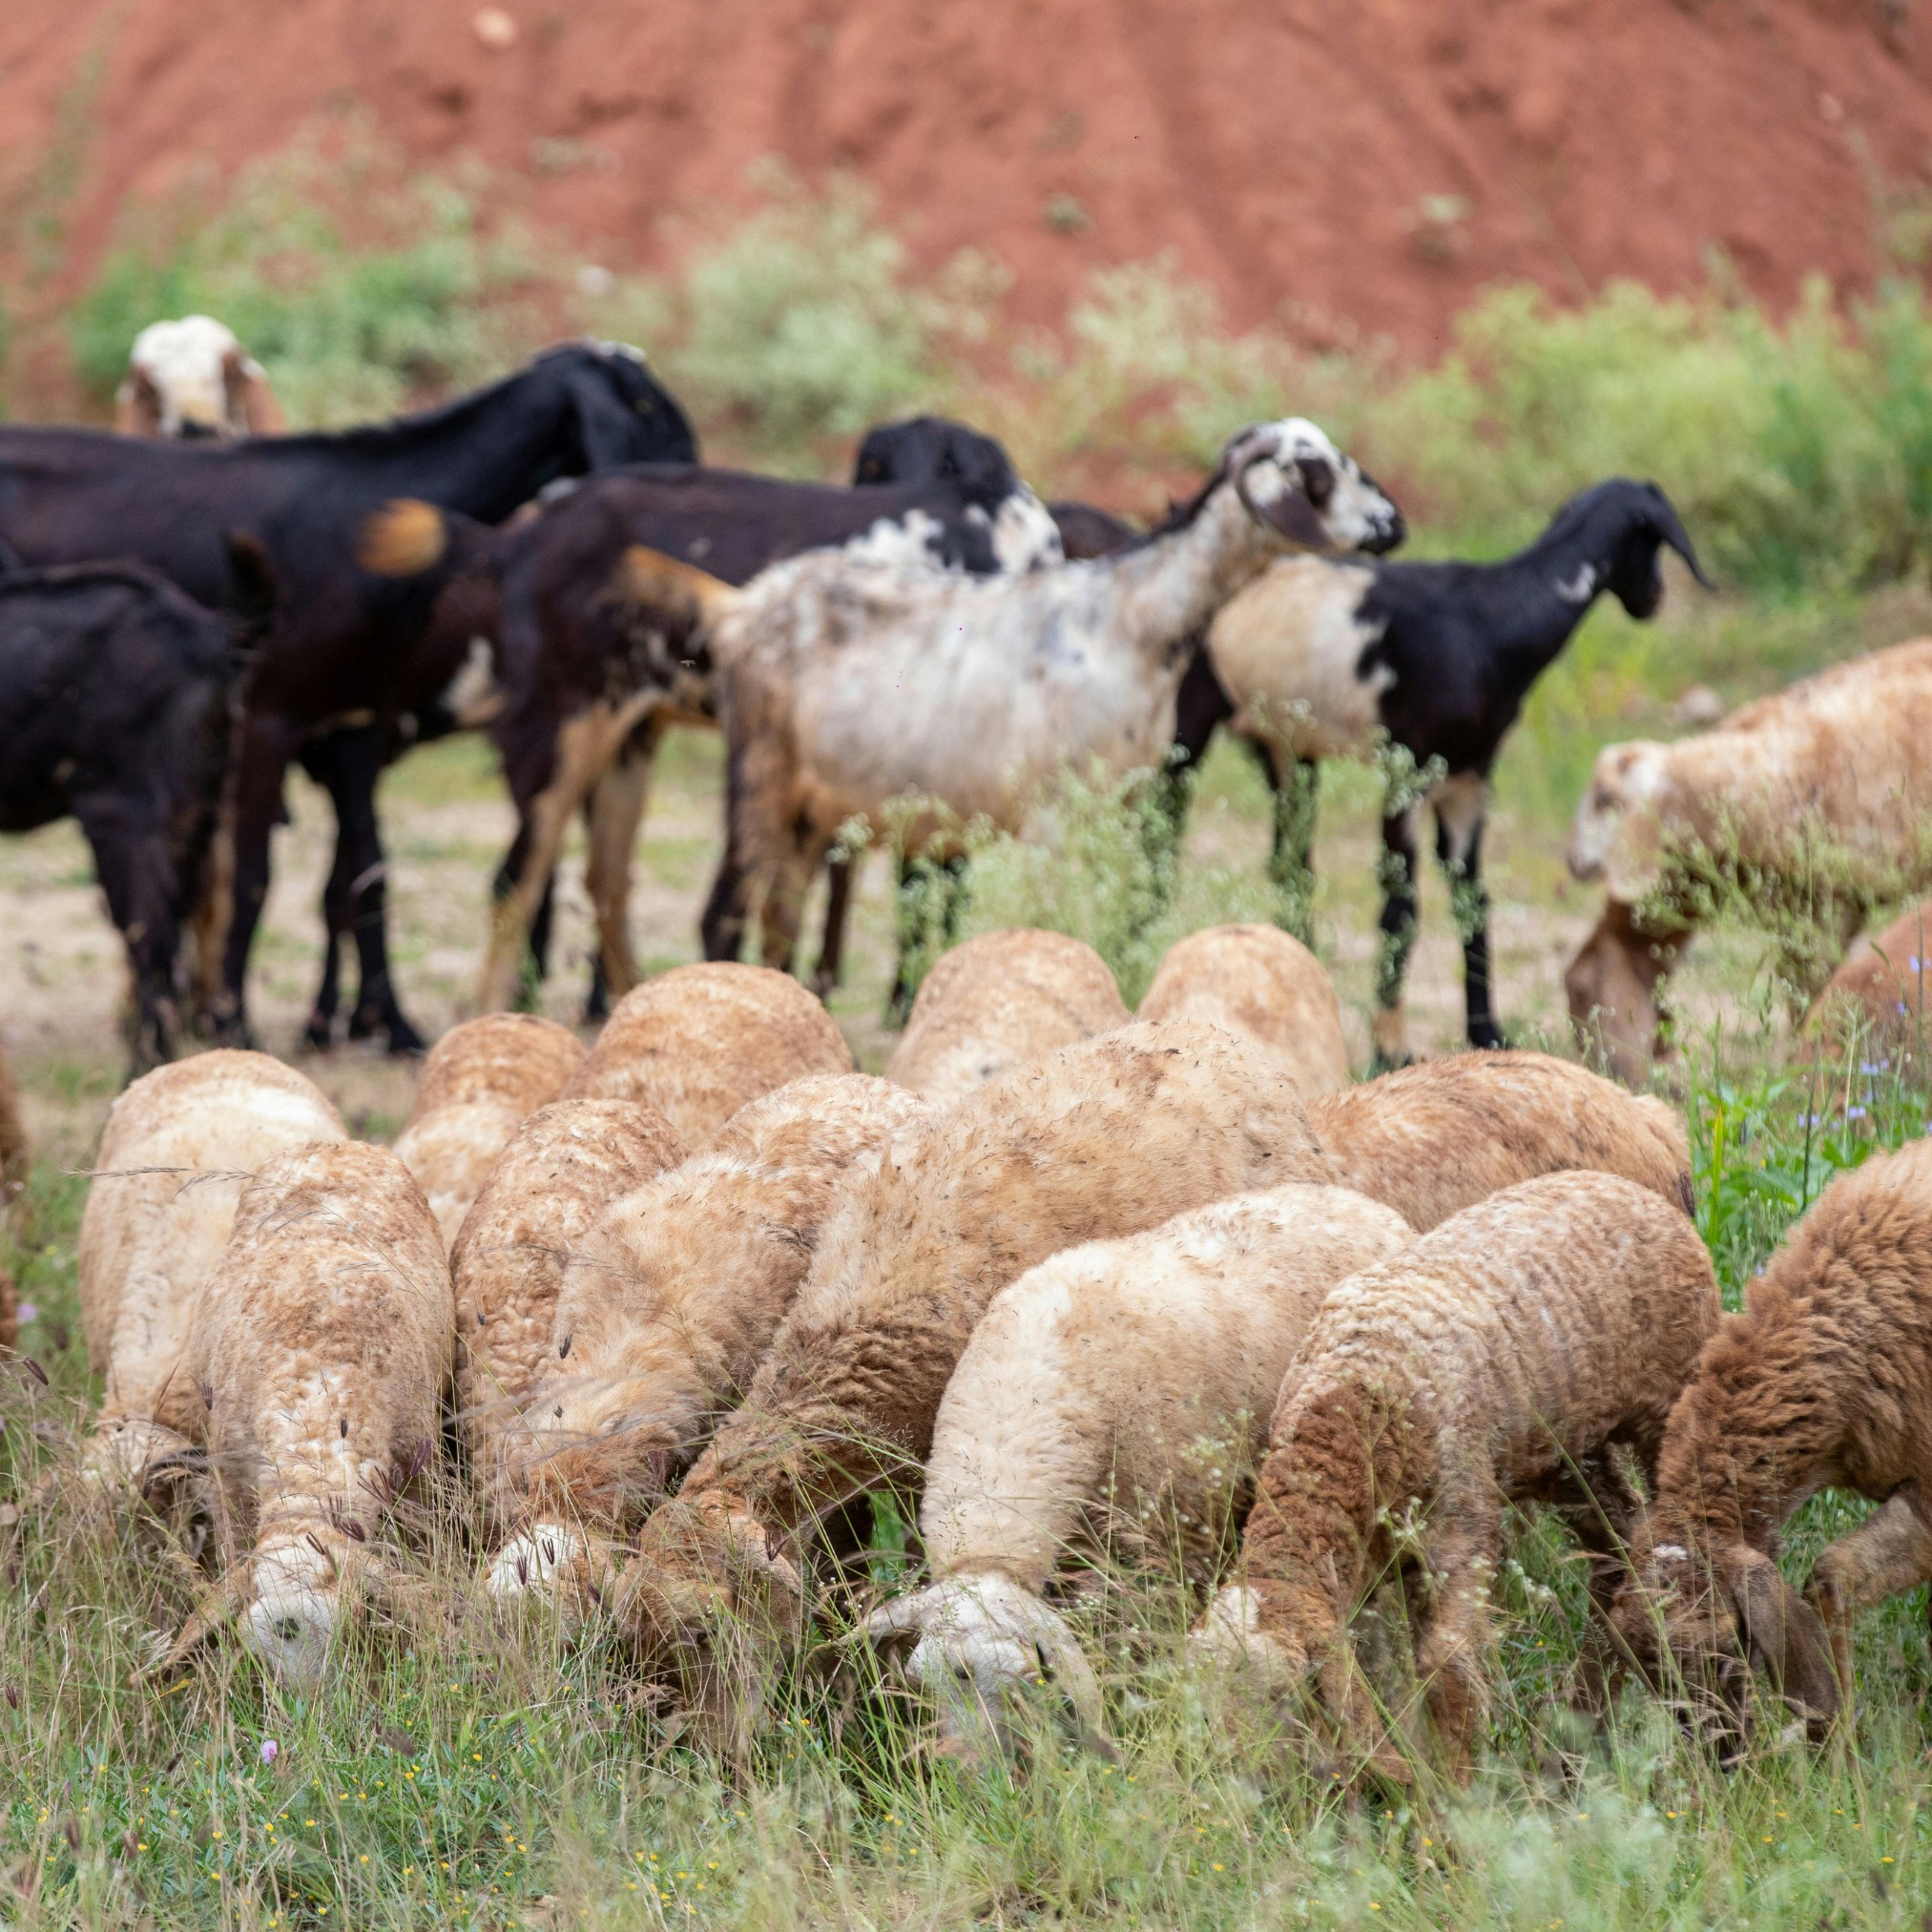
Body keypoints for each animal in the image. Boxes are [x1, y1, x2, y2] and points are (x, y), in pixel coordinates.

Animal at [0, 340, 695, 1054]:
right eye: (644, 403)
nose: (691, 472)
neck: (359, 524)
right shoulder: (266, 720)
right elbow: (249, 879)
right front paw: (234, 1021)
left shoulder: (353, 723)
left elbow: (365, 874)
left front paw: (390, 1023)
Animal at [153, 1140, 451, 1689]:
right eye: (259, 1657)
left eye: (354, 1631)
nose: (306, 1710)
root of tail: (337, 1144)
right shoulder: (230, 1484)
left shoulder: (421, 1472)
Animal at [689, 420, 1401, 975]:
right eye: (1317, 471)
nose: (1394, 522)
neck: (1129, 624)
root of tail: (744, 607)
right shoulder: (1050, 815)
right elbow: (1045, 926)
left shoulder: (1119, 806)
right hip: (760, 775)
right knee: (725, 915)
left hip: (811, 807)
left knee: (779, 920)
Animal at [1198, 1170, 1720, 1782]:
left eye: (1284, 1695)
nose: (1246, 1783)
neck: (1348, 1405)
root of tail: (1626, 1185)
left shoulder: (1461, 1524)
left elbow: (1445, 1665)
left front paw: (1457, 1790)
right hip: (1559, 1448)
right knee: (1619, 1538)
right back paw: (1581, 1721)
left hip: (1672, 1405)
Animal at [1206, 480, 1708, 1064]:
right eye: (1653, 541)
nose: (1655, 599)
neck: (1486, 625)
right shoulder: (1408, 773)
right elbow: (1401, 907)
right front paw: (1391, 1049)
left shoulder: (1469, 781)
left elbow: (1475, 902)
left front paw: (1488, 1034)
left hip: (1288, 748)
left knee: (1292, 865)